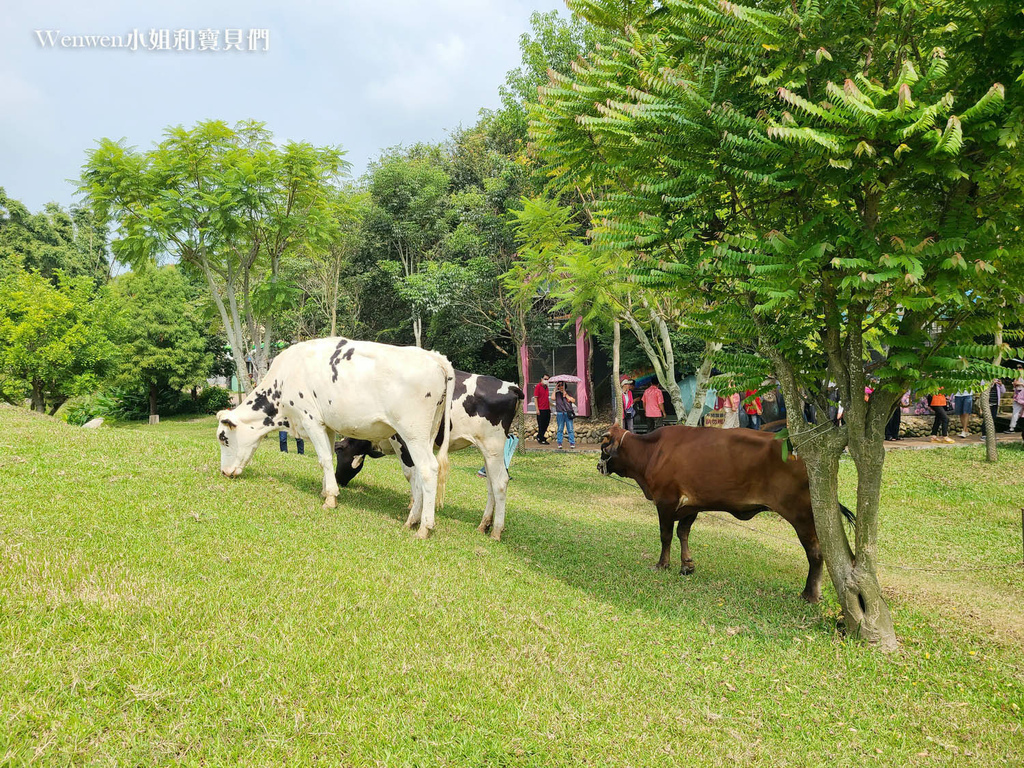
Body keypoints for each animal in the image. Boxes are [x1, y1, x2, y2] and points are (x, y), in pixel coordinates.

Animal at [218, 339, 454, 536]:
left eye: (223, 438)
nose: (224, 472)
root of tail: (434, 357)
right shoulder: (328, 426)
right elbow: (328, 458)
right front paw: (325, 490)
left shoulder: (310, 419)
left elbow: (324, 458)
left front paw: (331, 498)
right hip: (426, 434)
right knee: (417, 472)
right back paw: (412, 519)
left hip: (412, 434)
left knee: (427, 470)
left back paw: (424, 527)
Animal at [335, 372, 524, 540]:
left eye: (338, 449)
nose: (338, 479)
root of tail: (511, 386)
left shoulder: (403, 440)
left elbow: (412, 475)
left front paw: (414, 513)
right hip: (487, 450)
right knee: (491, 482)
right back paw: (484, 525)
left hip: (493, 446)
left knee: (500, 482)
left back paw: (496, 531)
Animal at [598, 423, 851, 606]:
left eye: (603, 447)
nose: (599, 466)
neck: (651, 450)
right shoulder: (691, 505)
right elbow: (683, 533)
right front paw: (687, 565)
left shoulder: (666, 501)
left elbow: (665, 535)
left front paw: (662, 564)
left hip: (801, 516)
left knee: (815, 553)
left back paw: (810, 594)